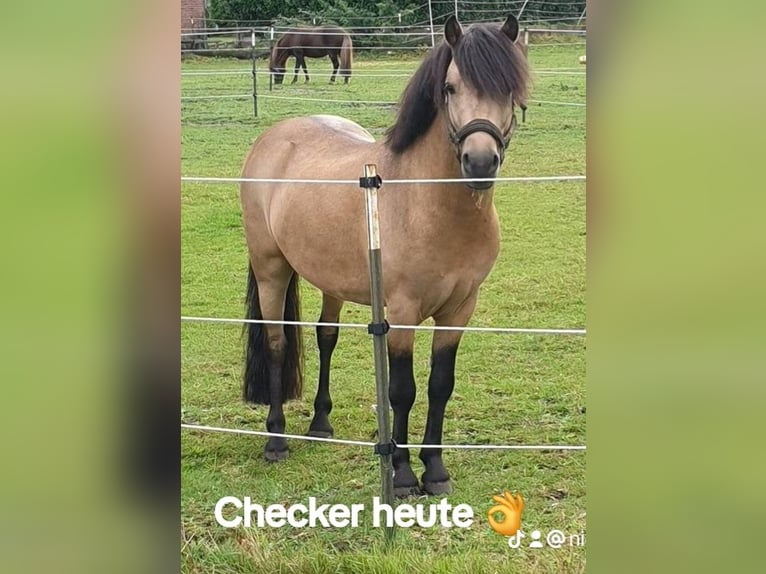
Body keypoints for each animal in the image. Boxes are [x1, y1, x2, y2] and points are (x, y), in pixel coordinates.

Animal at [240, 14, 529, 496]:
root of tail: (274, 137)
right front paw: (403, 474)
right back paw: (276, 439)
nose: (479, 162)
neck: (424, 201)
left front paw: (436, 470)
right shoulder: (404, 311)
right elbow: (401, 390)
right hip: (271, 269)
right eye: (450, 87)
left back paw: (321, 423)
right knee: (278, 342)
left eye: (509, 88)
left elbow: (440, 385)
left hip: (330, 279)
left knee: (326, 336)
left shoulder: (460, 309)